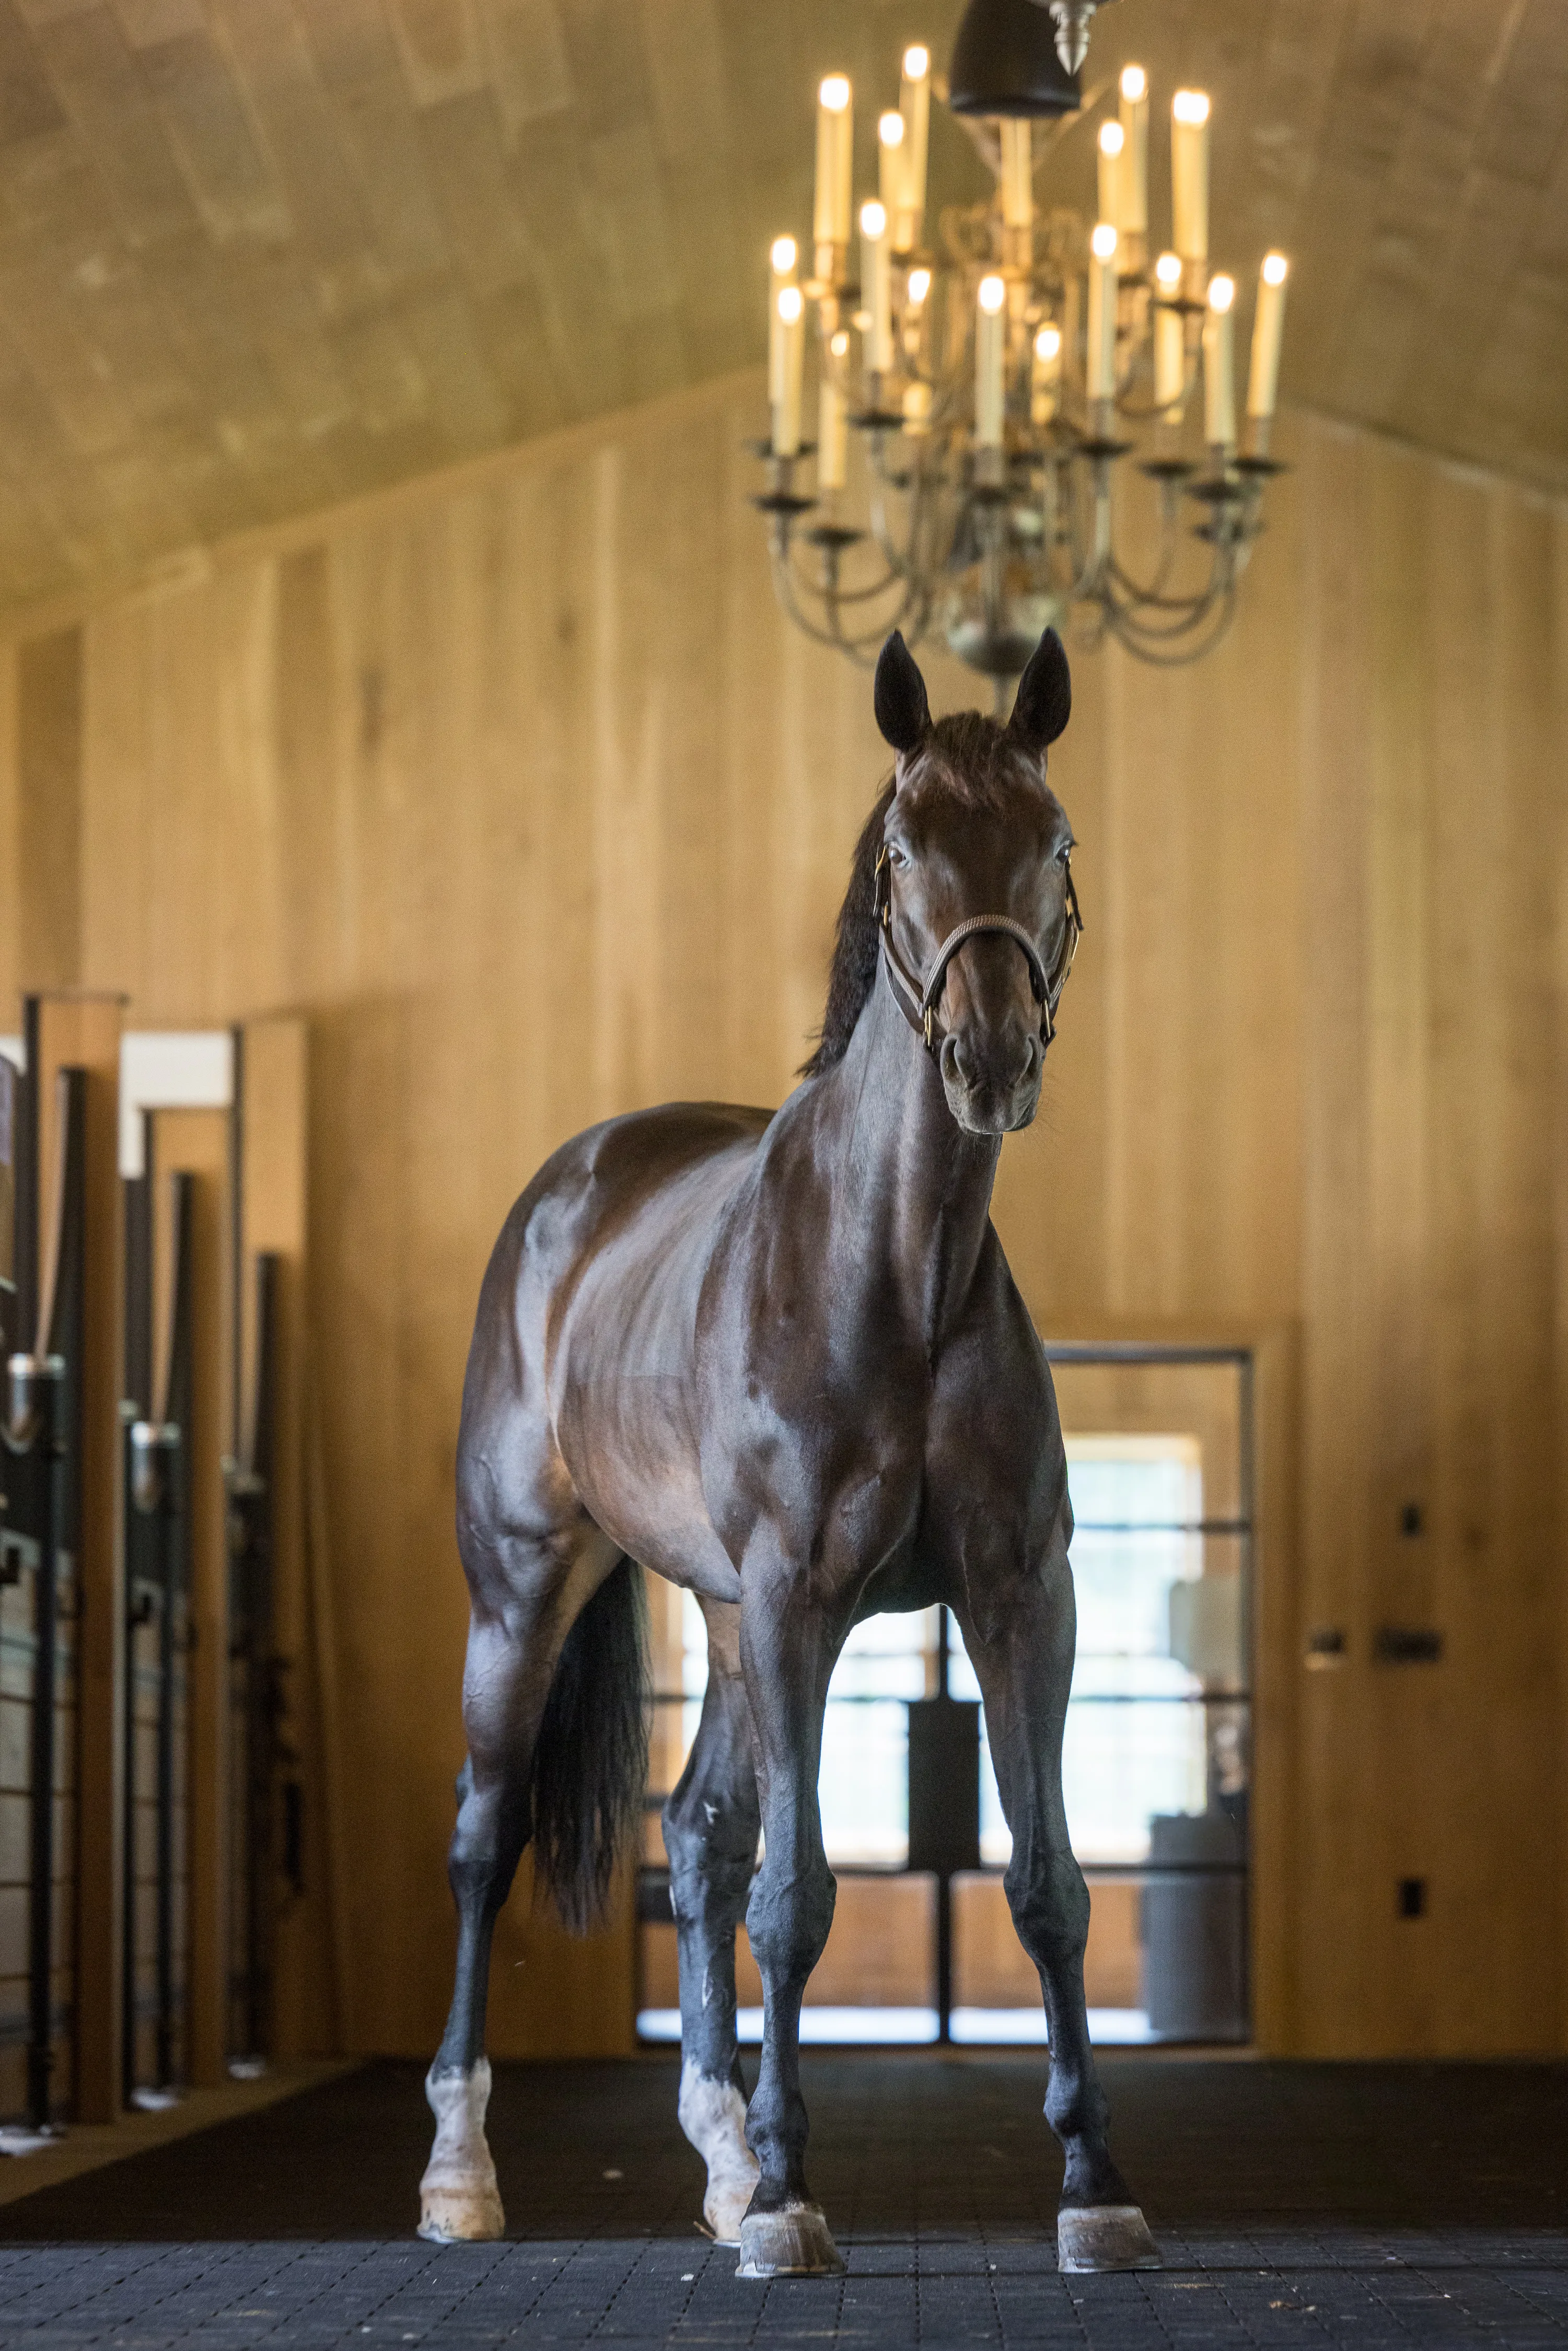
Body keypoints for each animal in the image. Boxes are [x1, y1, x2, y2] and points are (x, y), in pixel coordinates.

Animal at [417, 626, 1158, 2280]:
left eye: (1059, 841)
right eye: (901, 849)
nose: (988, 1056)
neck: (898, 1268)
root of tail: (571, 1187)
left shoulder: (1020, 1596)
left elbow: (1048, 1885)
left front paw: (1092, 2182)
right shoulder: (801, 1601)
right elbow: (796, 1896)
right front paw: (791, 2198)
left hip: (721, 1611)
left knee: (695, 1835)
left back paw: (718, 2151)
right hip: (530, 1589)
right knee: (490, 1837)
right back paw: (462, 2169)